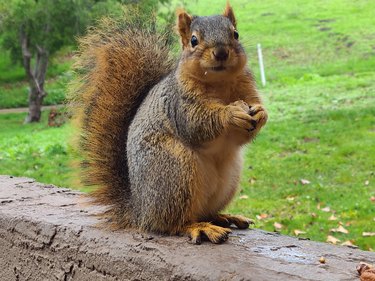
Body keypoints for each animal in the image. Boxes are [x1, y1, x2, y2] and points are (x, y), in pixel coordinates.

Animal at [69, 2, 268, 243]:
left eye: (235, 34)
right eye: (193, 40)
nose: (221, 52)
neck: (219, 82)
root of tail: (140, 210)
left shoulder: (247, 87)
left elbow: (243, 133)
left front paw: (261, 113)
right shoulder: (178, 105)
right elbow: (196, 124)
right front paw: (230, 113)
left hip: (226, 180)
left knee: (204, 212)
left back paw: (224, 217)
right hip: (174, 171)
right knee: (171, 223)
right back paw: (200, 227)